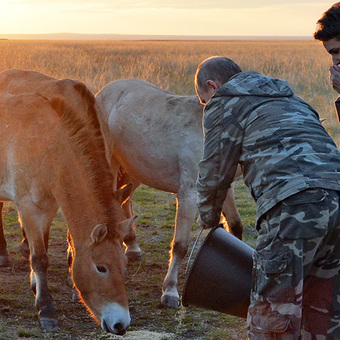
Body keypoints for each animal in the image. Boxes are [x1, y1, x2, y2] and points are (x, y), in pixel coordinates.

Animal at [0, 69, 133, 334]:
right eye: (101, 267)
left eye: (124, 265)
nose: (121, 324)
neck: (49, 147)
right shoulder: (29, 207)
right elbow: (40, 257)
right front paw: (46, 309)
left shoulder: (49, 205)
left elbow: (44, 246)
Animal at [96, 78, 244, 310]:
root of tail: (105, 91)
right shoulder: (189, 195)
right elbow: (180, 245)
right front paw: (170, 291)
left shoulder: (223, 188)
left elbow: (236, 226)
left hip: (134, 170)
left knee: (124, 201)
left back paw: (132, 247)